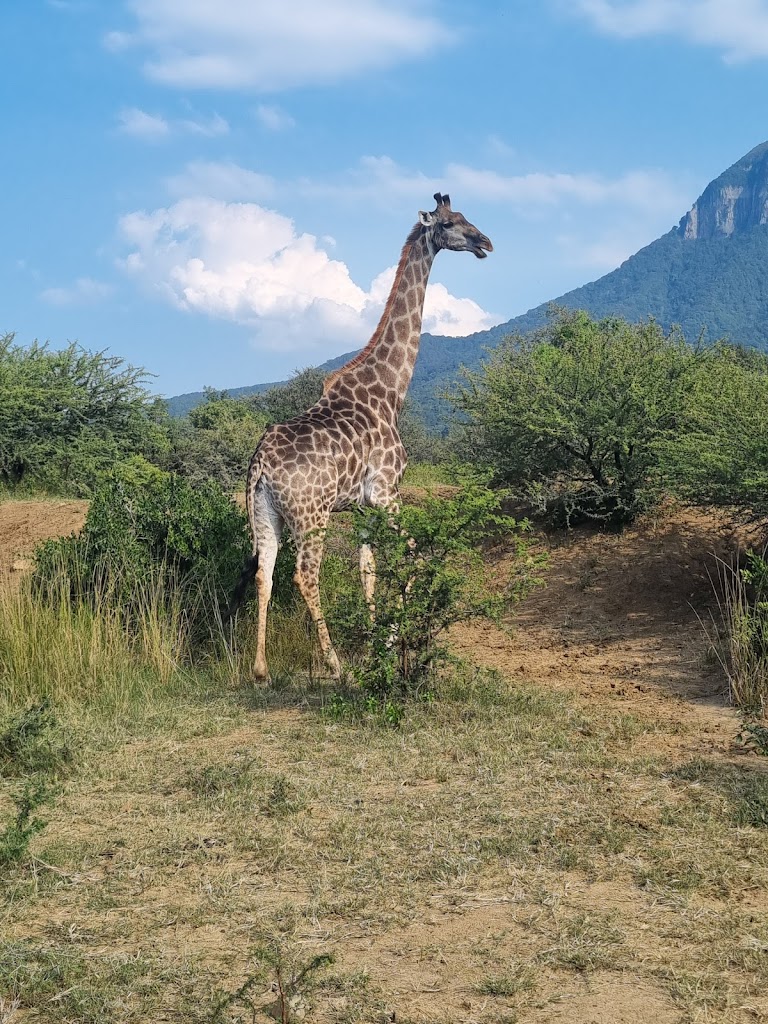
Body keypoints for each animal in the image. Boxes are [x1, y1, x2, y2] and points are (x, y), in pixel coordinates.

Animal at [232, 193, 492, 681]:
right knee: (304, 575)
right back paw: (334, 664)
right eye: (451, 223)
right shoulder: (387, 490)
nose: (486, 242)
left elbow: (367, 568)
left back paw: (260, 669)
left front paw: (376, 644)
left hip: (264, 514)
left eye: (467, 217)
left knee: (265, 573)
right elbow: (413, 556)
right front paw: (392, 644)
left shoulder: (362, 505)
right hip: (311, 515)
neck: (390, 389)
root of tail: (259, 465)